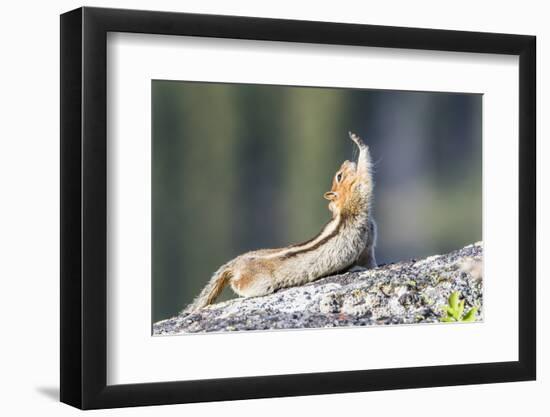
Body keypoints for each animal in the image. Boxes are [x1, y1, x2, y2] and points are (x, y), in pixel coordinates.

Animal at [183, 133, 378, 312]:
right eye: (339, 176)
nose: (346, 161)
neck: (341, 207)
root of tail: (235, 263)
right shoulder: (358, 195)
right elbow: (365, 177)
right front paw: (359, 142)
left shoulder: (367, 245)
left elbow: (370, 260)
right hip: (258, 283)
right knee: (239, 286)